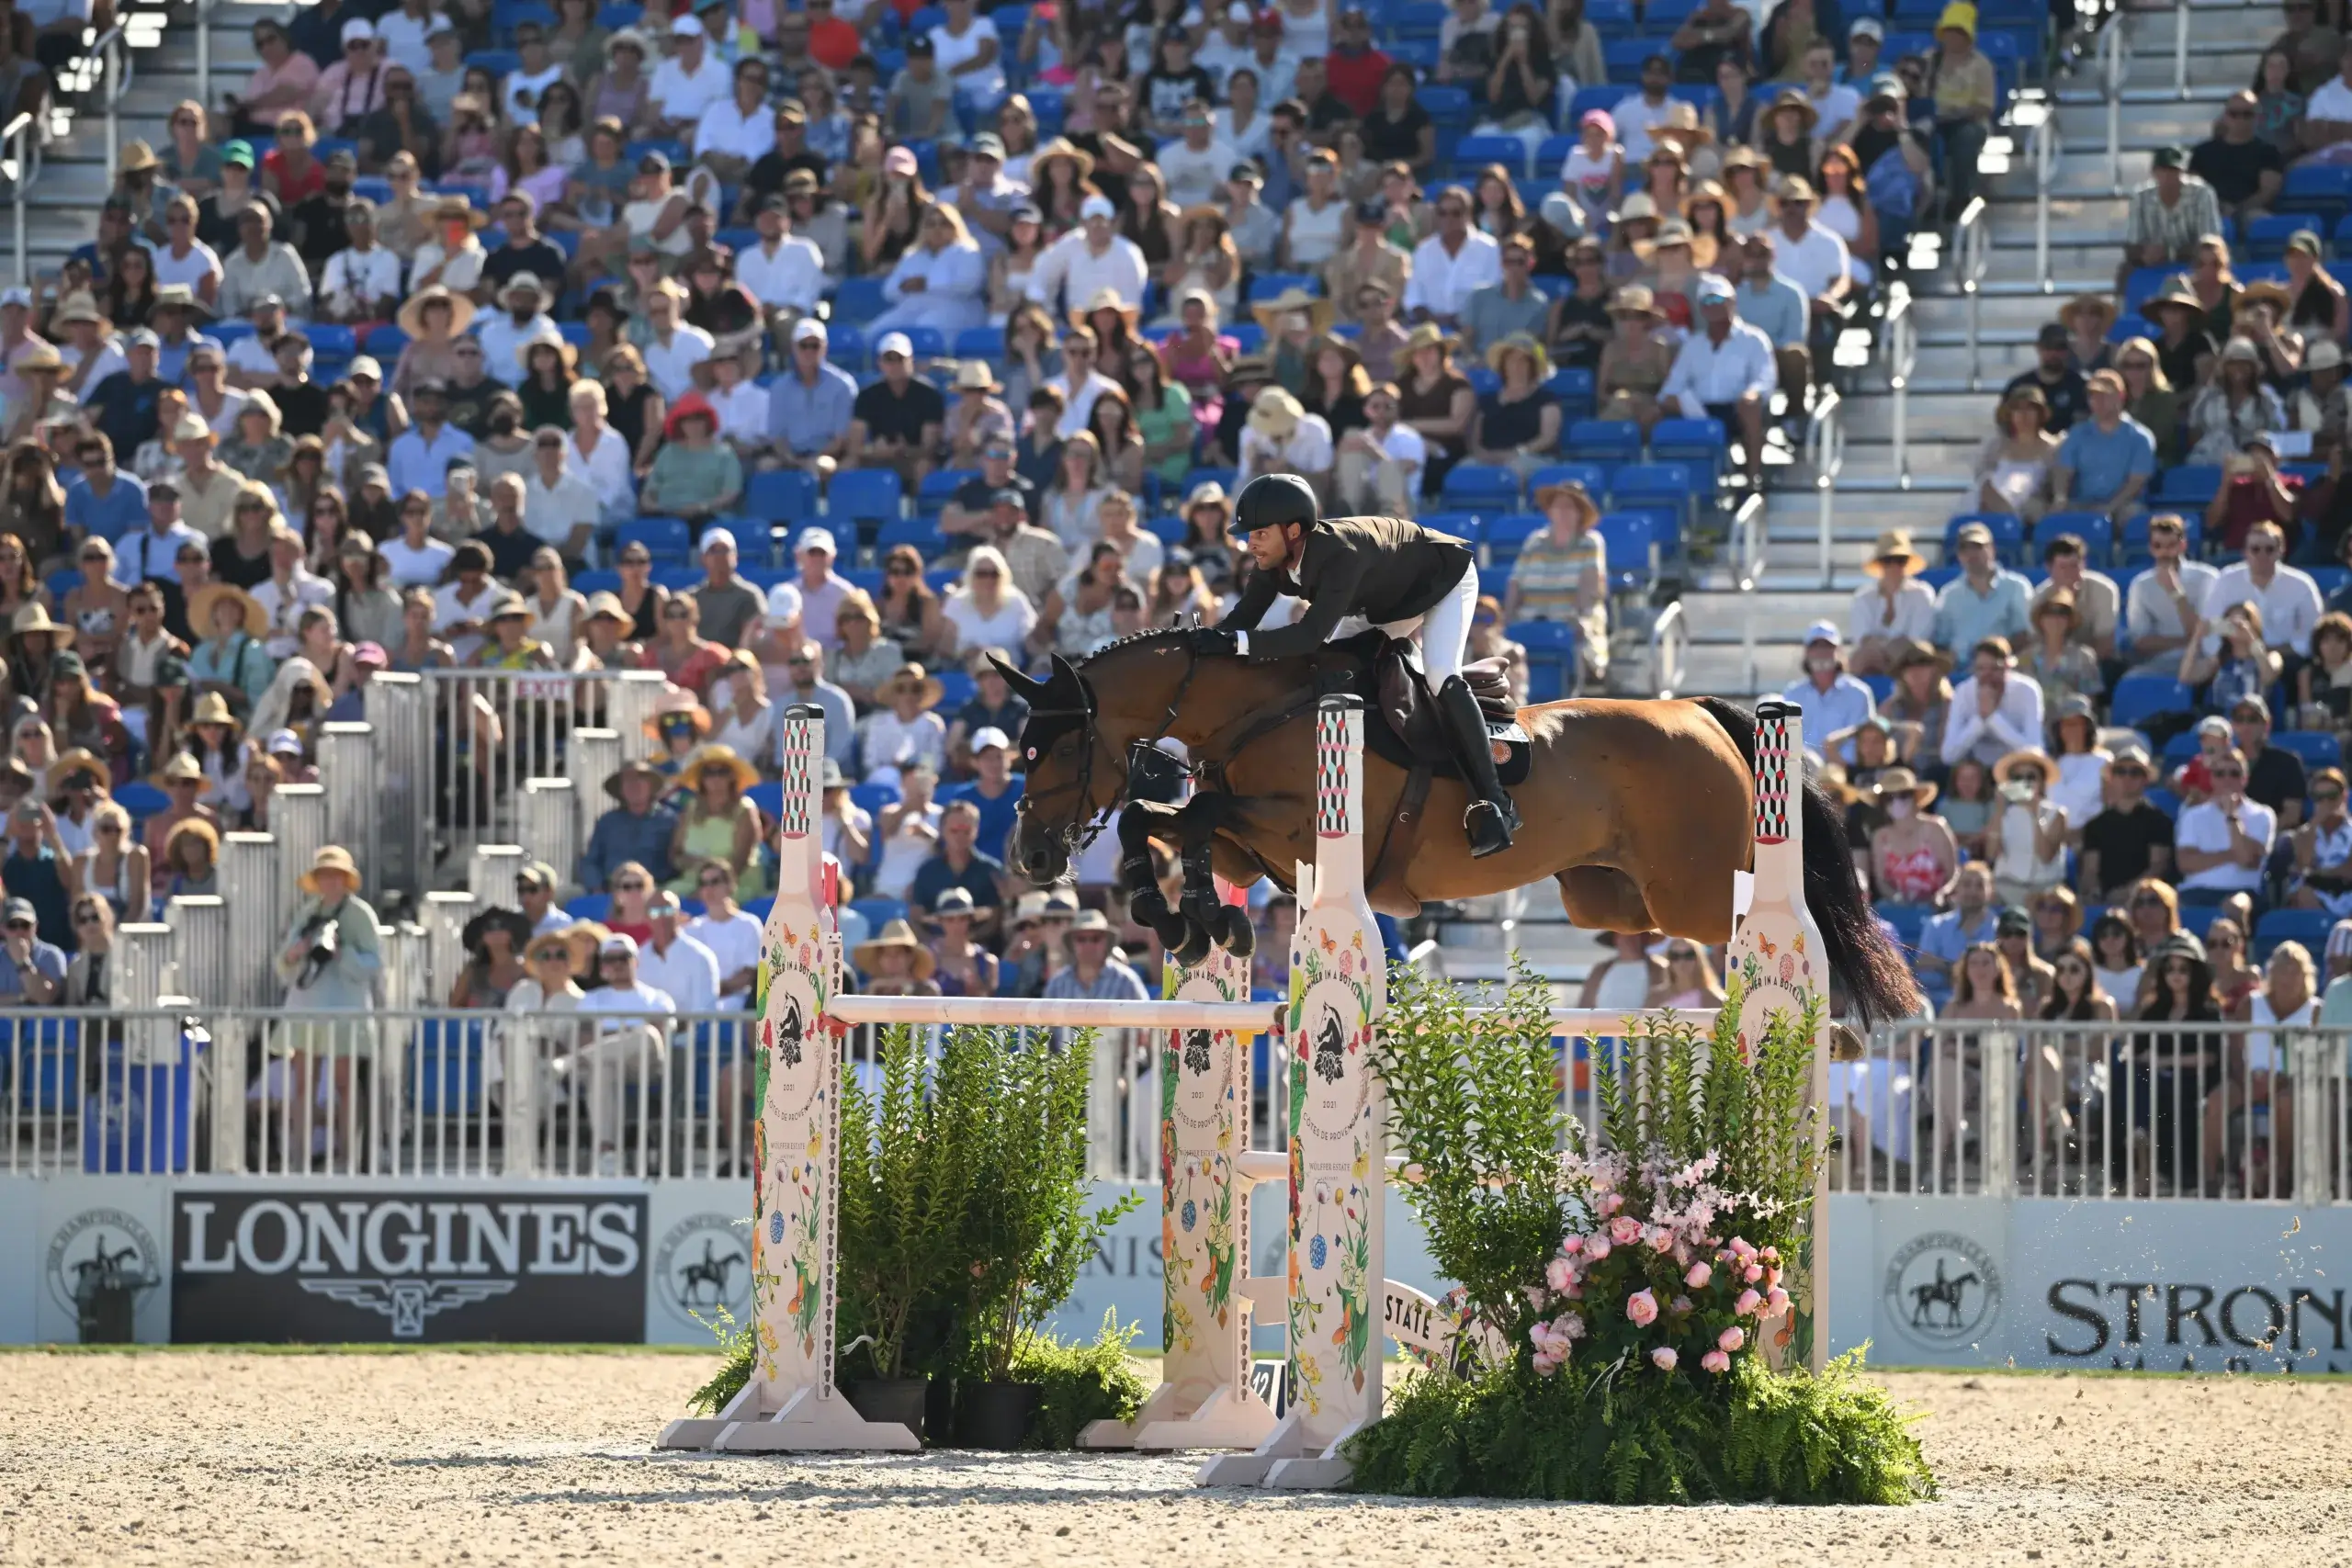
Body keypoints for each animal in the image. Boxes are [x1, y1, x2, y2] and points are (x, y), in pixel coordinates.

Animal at [992, 629, 1928, 1024]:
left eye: (1059, 743)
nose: (1029, 855)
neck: (1260, 706)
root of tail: (1699, 710)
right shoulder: (1253, 853)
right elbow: (1159, 818)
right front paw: (1189, 918)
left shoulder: (1305, 835)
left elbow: (1191, 812)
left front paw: (1188, 915)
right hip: (1610, 899)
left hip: (1692, 887)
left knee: (1785, 913)